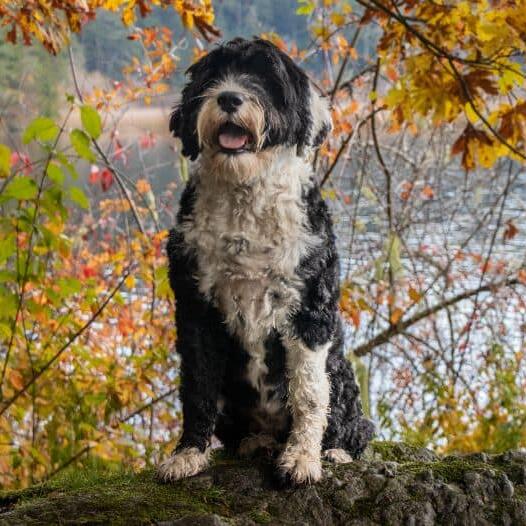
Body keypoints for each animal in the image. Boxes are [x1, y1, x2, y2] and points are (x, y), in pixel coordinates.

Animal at [158, 37, 376, 486]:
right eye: (213, 76)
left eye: (266, 78)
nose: (228, 97)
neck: (246, 196)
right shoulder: (195, 307)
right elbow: (198, 385)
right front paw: (188, 453)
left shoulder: (309, 309)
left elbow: (308, 393)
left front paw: (302, 459)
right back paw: (254, 443)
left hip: (341, 373)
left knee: (353, 424)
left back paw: (334, 451)